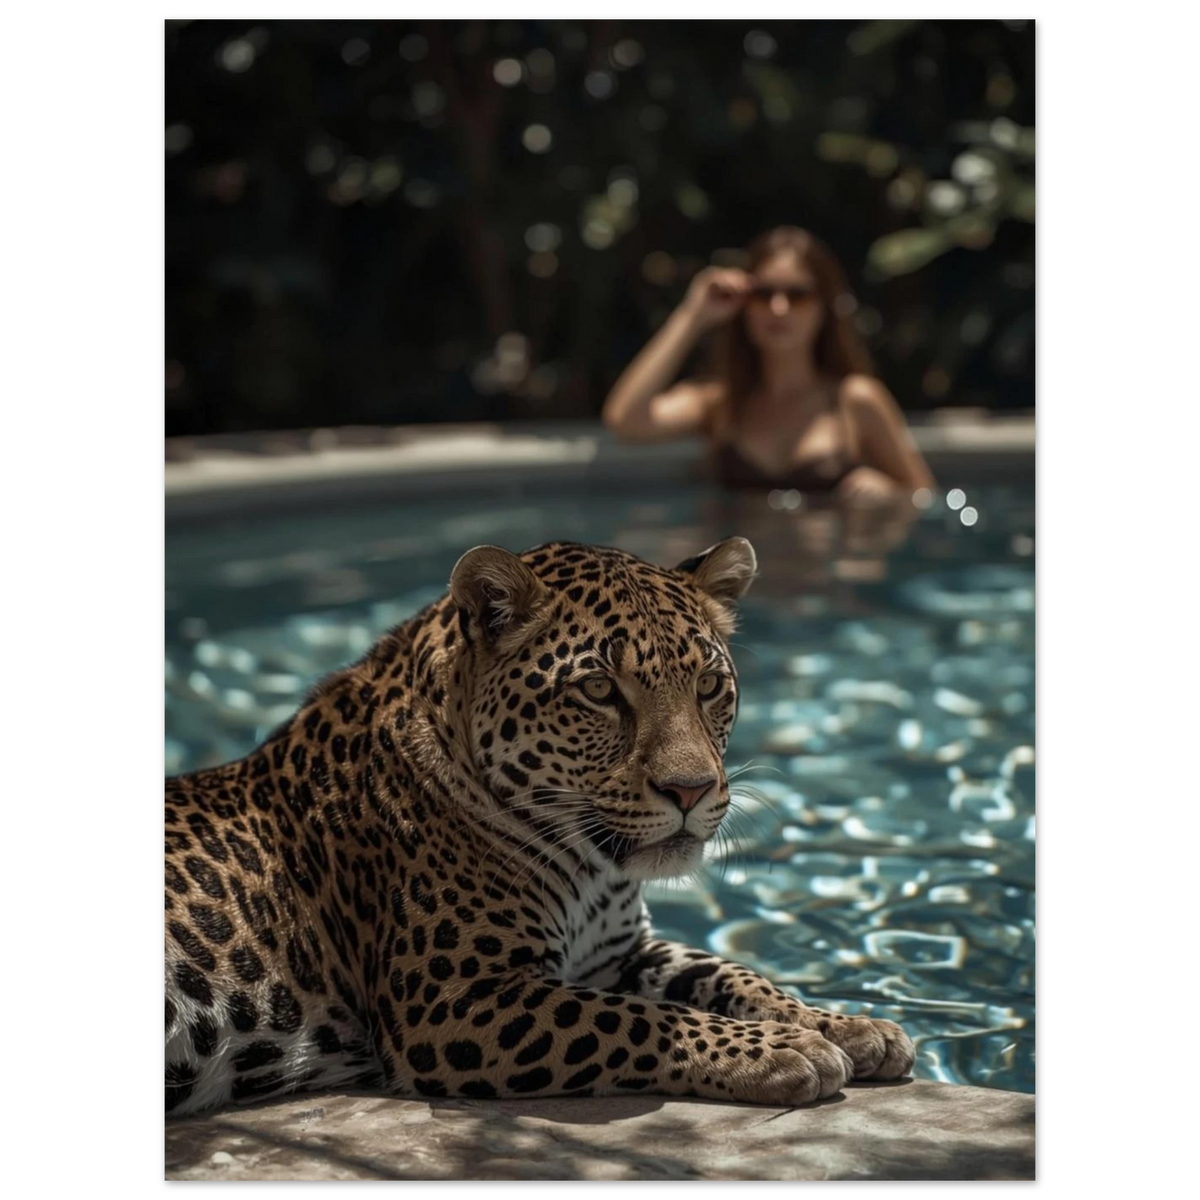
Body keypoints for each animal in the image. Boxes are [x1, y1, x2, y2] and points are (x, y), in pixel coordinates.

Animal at [163, 536, 914, 1117]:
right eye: (599, 690)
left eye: (708, 685)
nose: (691, 789)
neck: (591, 867)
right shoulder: (452, 1002)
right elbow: (636, 1019)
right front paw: (786, 1051)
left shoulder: (619, 954)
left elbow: (728, 973)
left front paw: (846, 1025)